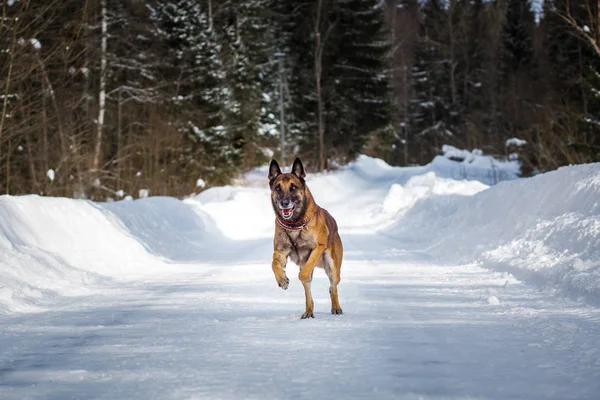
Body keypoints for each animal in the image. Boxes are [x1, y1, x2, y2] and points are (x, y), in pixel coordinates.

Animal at [268, 158, 342, 318]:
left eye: (293, 187)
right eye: (278, 188)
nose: (284, 203)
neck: (295, 223)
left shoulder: (317, 249)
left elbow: (303, 275)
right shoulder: (280, 252)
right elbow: (274, 264)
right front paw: (282, 280)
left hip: (332, 267)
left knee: (332, 286)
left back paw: (336, 307)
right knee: (309, 289)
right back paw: (308, 311)